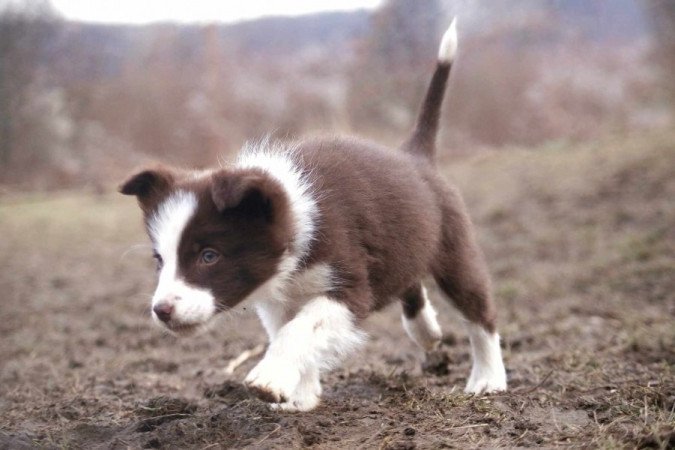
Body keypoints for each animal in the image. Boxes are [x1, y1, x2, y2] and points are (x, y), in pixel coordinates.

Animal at [121, 19, 508, 414]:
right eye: (159, 260)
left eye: (209, 256)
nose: (161, 310)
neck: (295, 213)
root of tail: (415, 155)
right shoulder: (279, 299)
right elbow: (287, 331)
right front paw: (300, 396)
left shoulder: (349, 286)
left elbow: (301, 329)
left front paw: (269, 379)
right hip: (406, 243)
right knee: (409, 279)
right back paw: (426, 332)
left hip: (455, 251)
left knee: (480, 314)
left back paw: (488, 379)